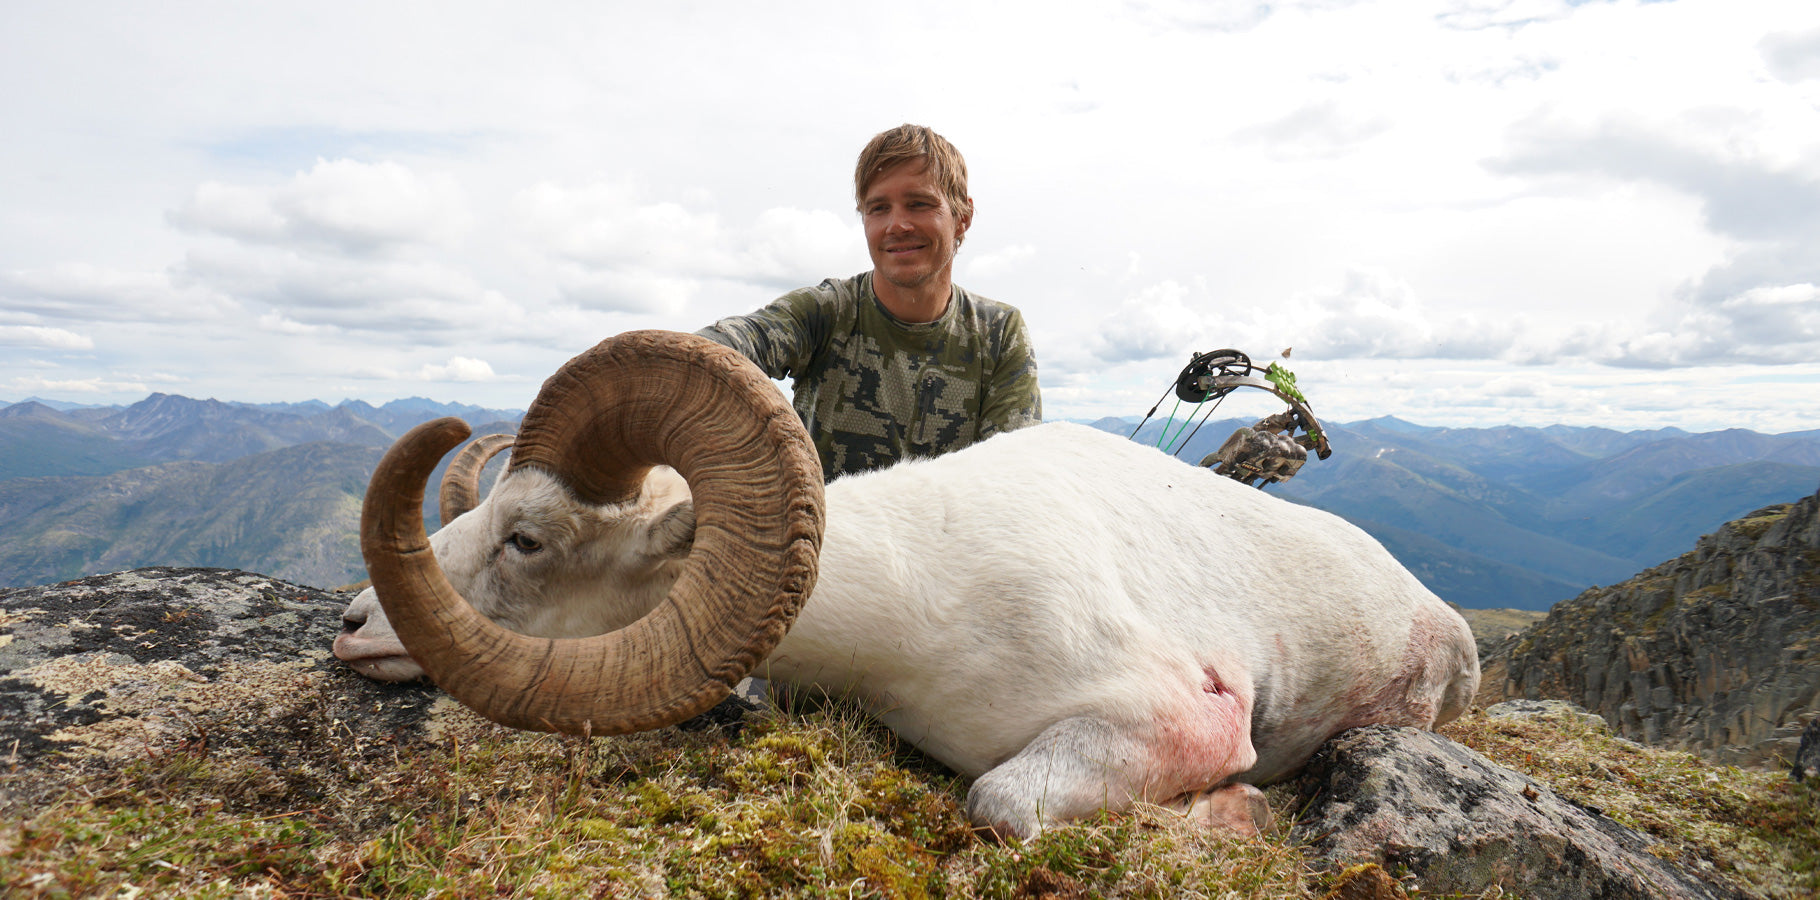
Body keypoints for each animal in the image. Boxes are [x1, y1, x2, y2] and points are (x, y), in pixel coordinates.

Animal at [346, 330, 1480, 840]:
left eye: (527, 538)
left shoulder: (1173, 715)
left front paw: (1234, 810)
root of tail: (1449, 625)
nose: (355, 623)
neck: (918, 599)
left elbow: (1000, 801)